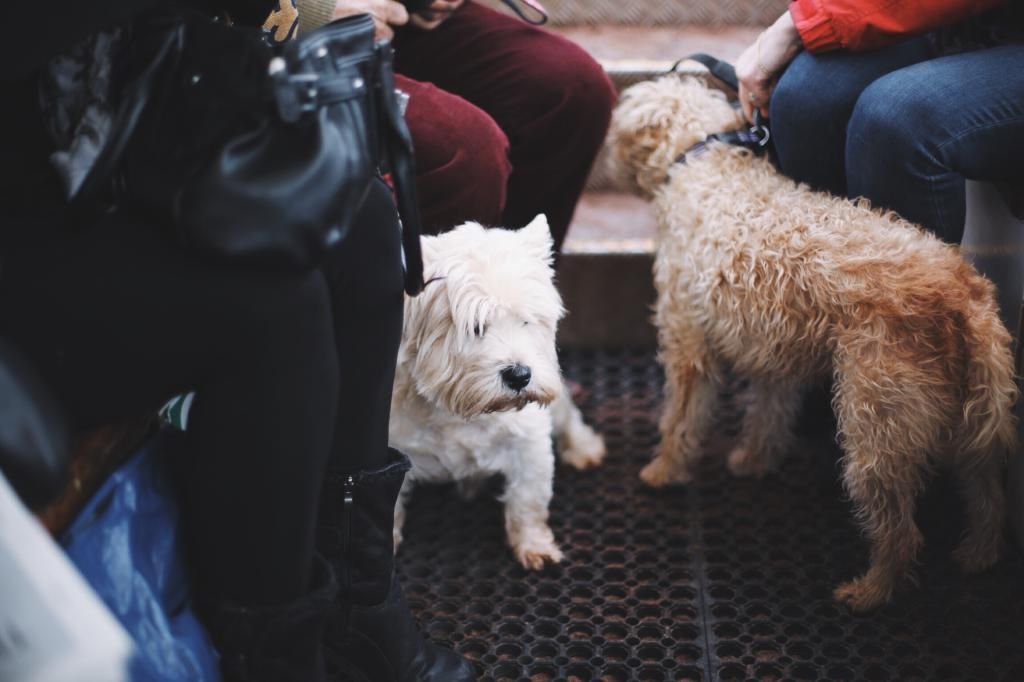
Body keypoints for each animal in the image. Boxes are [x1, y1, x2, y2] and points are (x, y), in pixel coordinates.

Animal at [387, 215, 602, 565]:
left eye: (527, 321)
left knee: (567, 413)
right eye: (474, 326)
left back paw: (584, 448)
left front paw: (534, 547)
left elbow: (527, 500)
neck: (462, 411)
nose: (520, 376)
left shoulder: (529, 445)